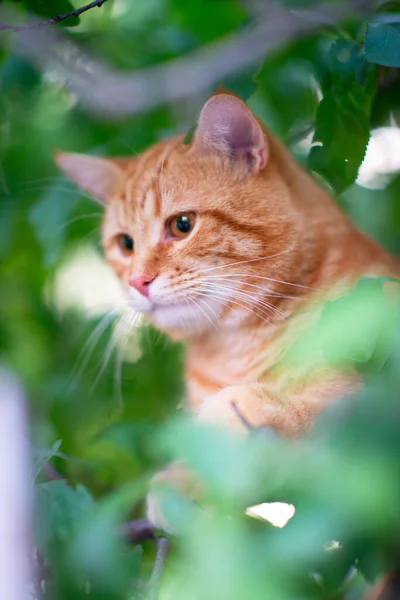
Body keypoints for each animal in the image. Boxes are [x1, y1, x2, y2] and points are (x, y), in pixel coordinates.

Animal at [56, 89, 400, 528]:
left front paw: (239, 410)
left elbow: (319, 403)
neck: (232, 349)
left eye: (182, 225)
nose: (137, 282)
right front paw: (183, 480)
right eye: (125, 244)